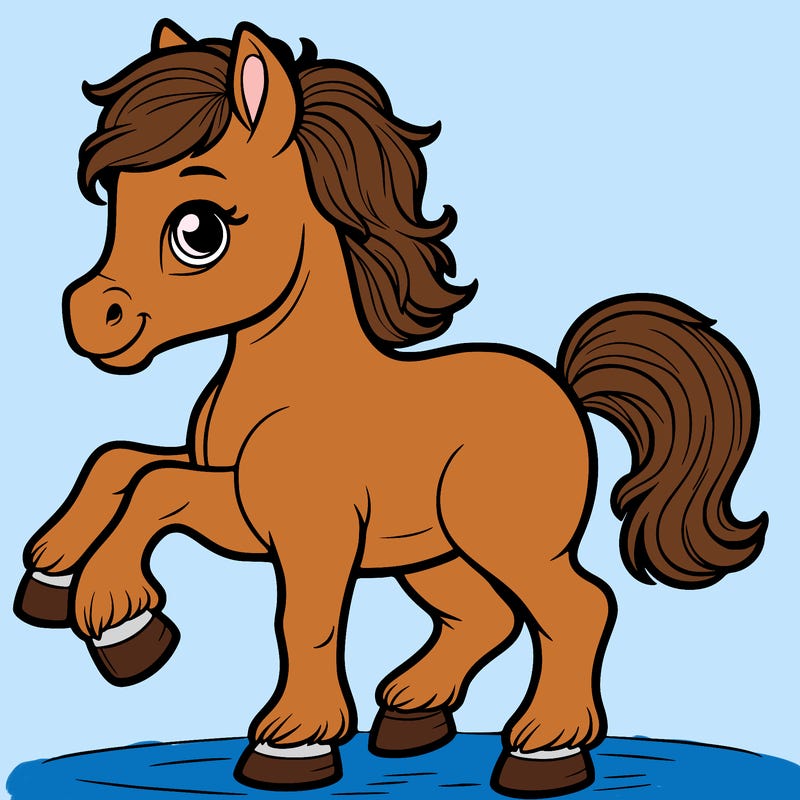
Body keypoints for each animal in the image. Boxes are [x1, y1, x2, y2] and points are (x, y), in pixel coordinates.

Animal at [14, 19, 767, 797]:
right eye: (115, 203)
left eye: (200, 230)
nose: (88, 318)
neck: (292, 388)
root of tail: (563, 387)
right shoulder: (241, 504)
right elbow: (123, 464)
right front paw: (54, 578)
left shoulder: (307, 530)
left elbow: (285, 604)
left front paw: (275, 730)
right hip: (432, 551)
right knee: (484, 615)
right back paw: (413, 713)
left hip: (505, 538)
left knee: (577, 608)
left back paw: (544, 749)